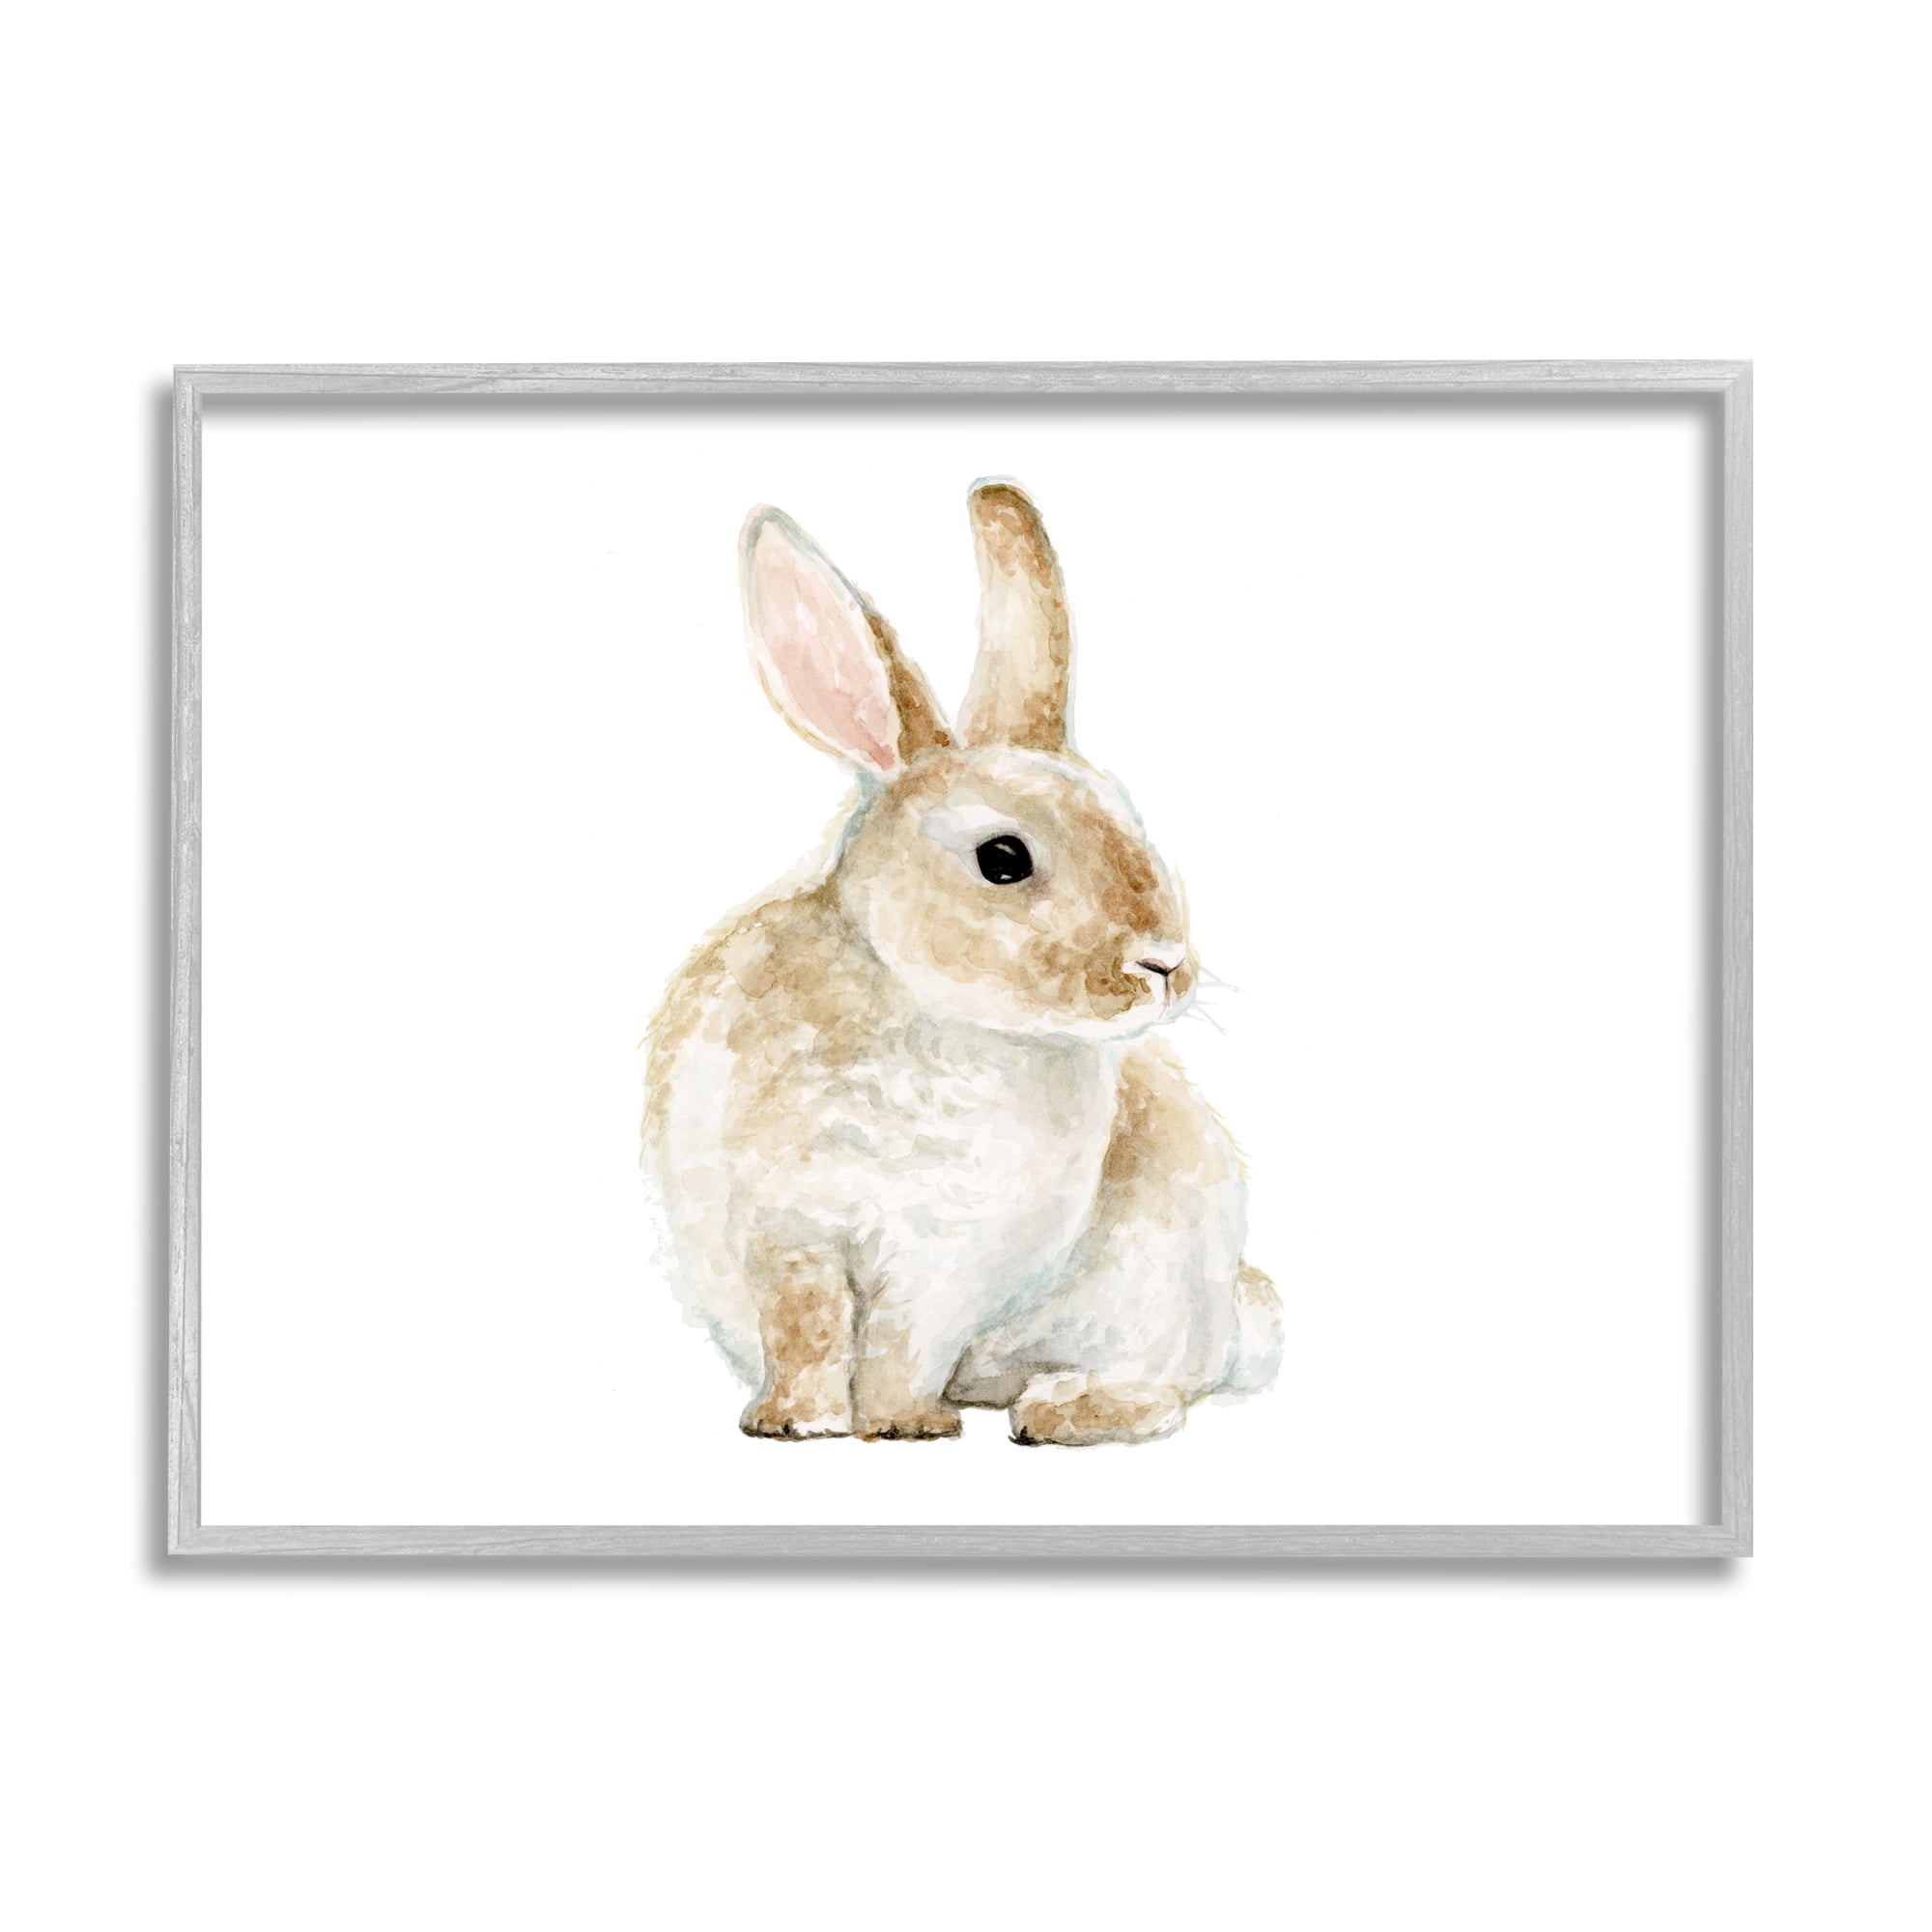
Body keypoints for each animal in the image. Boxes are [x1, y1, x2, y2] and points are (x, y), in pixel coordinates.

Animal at [643, 480, 1282, 1445]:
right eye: (1003, 859)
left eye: (1129, 819)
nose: (1164, 963)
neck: (929, 1014)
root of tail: (1239, 1322)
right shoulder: (788, 1231)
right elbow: (805, 1324)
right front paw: (794, 1421)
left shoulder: (948, 1268)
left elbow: (904, 1344)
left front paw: (903, 1424)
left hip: (1161, 1296)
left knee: (1166, 1387)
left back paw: (1063, 1409)